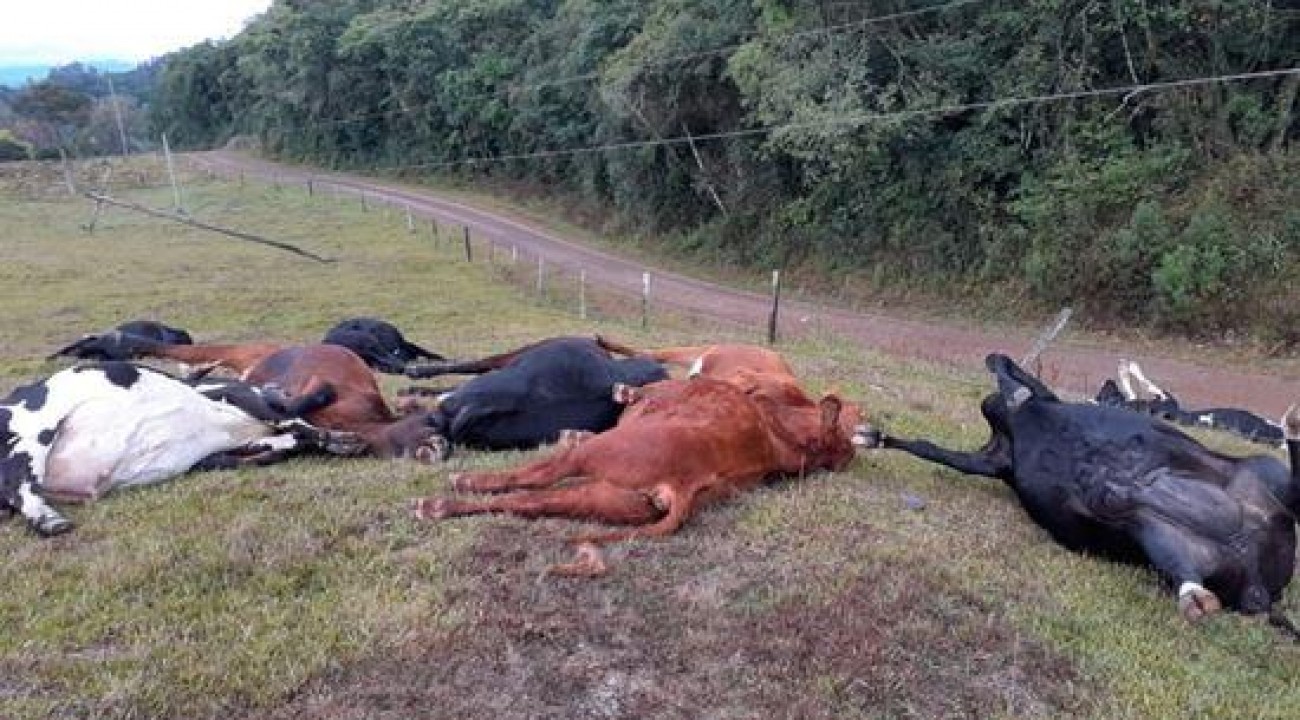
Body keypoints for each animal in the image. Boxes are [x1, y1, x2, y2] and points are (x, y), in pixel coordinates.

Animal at [2, 358, 366, 532]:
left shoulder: (234, 446)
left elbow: (281, 442)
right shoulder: (240, 397)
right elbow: (295, 420)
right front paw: (341, 437)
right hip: (34, 432)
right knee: (18, 482)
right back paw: (49, 520)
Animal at [416, 374, 863, 571]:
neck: (780, 432)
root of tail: (684, 486)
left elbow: (647, 388)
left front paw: (624, 392)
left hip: (593, 458)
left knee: (529, 480)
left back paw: (451, 492)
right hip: (600, 498)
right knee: (528, 502)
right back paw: (440, 507)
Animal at [863, 350, 1300, 631]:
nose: (995, 403)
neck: (1012, 424)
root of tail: (1260, 590)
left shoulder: (1041, 400)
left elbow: (1008, 366)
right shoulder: (993, 458)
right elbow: (931, 448)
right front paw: (874, 437)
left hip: (1261, 472)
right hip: (1153, 535)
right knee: (1185, 571)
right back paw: (1192, 593)